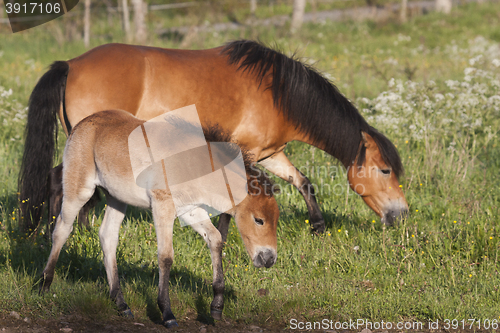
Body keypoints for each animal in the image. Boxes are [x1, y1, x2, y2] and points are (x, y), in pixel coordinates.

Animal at [19, 39, 408, 233]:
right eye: (385, 170)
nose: (402, 214)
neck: (279, 94)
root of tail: (72, 64)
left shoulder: (270, 154)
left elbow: (303, 182)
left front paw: (318, 226)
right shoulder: (245, 153)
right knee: (60, 181)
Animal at [40, 109, 280, 326]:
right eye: (259, 220)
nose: (269, 259)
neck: (193, 163)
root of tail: (83, 123)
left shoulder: (190, 210)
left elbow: (216, 240)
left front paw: (217, 306)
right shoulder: (162, 205)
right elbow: (166, 256)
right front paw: (167, 313)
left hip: (117, 198)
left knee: (108, 236)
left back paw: (121, 304)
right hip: (79, 188)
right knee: (62, 228)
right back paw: (45, 284)